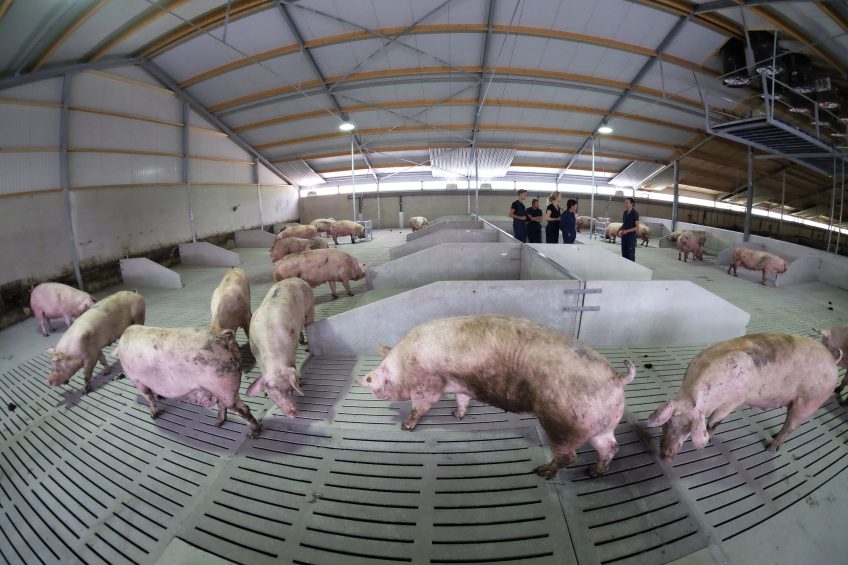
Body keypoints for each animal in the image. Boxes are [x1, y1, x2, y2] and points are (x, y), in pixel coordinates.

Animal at [116, 324, 260, 438]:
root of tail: (223, 338)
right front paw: (161, 397)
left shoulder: (137, 380)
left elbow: (148, 397)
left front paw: (153, 415)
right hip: (220, 389)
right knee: (222, 405)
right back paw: (217, 423)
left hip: (225, 388)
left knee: (243, 409)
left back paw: (253, 434)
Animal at [245, 278, 314, 416]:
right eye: (274, 391)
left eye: (289, 389)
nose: (293, 412)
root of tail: (295, 278)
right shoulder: (255, 351)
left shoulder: (291, 352)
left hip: (310, 306)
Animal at [358, 316, 636, 478]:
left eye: (378, 379)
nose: (365, 380)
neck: (406, 363)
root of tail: (616, 378)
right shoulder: (460, 384)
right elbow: (462, 399)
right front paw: (456, 415)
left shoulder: (427, 386)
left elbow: (420, 407)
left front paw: (406, 427)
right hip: (601, 425)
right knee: (611, 447)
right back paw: (593, 472)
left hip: (564, 425)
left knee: (569, 456)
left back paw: (541, 472)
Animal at [648, 332, 836, 460]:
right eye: (668, 421)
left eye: (688, 428)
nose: (665, 456)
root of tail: (833, 363)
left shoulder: (734, 401)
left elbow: (714, 422)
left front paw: (709, 437)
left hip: (809, 402)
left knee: (790, 427)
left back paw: (769, 449)